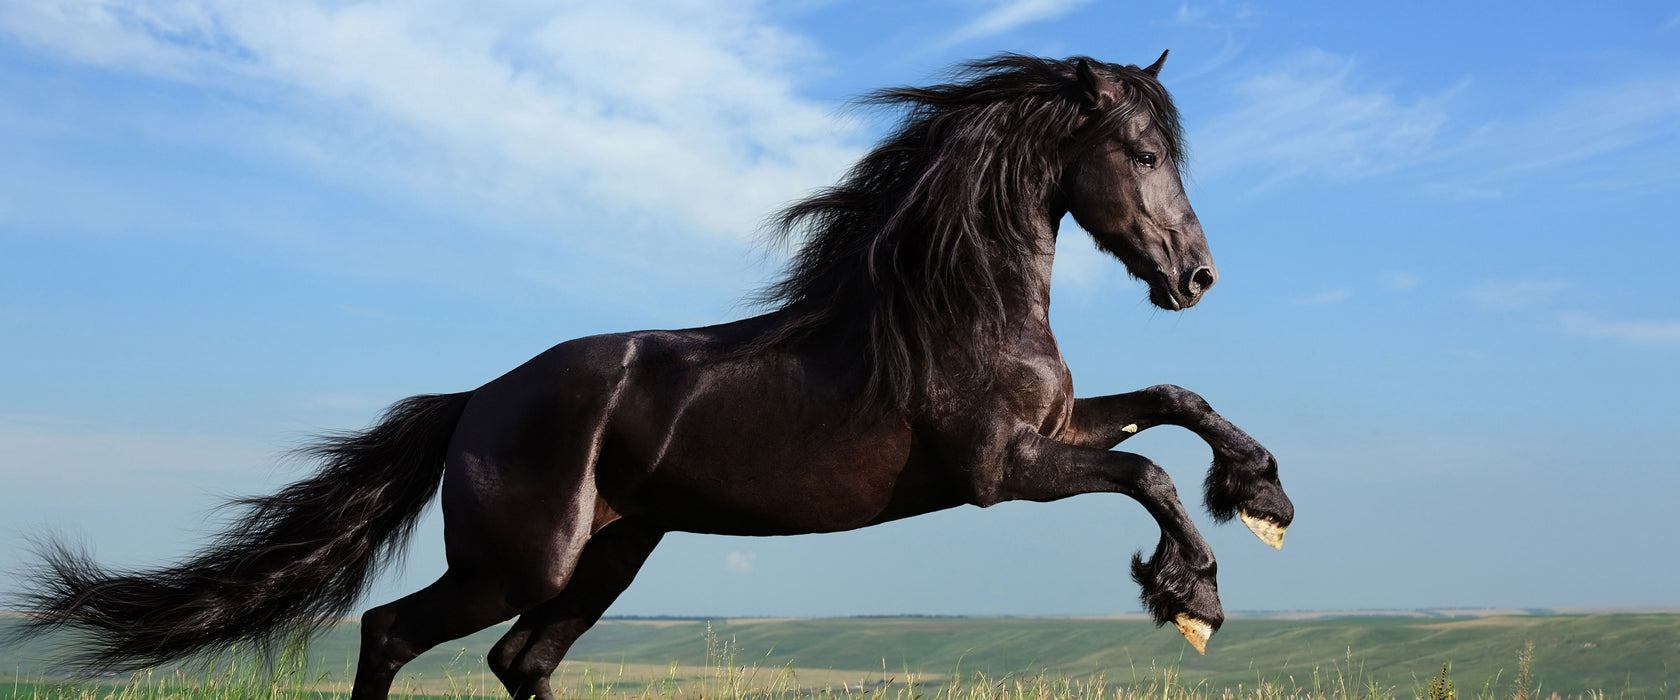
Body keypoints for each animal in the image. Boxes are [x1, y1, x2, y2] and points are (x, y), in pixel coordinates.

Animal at [13, 51, 1290, 694]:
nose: (1197, 276)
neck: (957, 307)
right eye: (1141, 153)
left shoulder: (1061, 425)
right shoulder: (1000, 469)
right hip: (519, 560)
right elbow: (1148, 477)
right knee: (392, 633)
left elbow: (1174, 405)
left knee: (519, 659)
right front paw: (1194, 595)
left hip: (612, 552)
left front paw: (1264, 495)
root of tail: (473, 404)